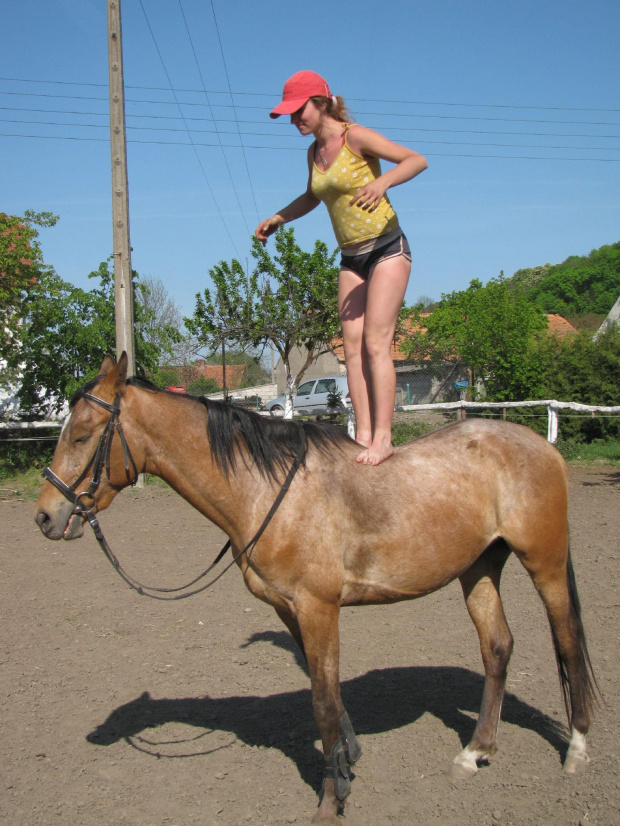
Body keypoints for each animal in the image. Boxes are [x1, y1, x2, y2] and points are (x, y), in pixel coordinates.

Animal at [34, 356, 596, 824]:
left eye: (81, 435)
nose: (45, 516)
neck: (267, 490)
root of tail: (543, 446)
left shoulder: (318, 607)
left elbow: (323, 703)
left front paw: (330, 801)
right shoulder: (290, 610)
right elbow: (325, 691)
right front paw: (345, 765)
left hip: (544, 563)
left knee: (568, 640)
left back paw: (577, 749)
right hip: (479, 568)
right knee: (497, 648)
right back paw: (475, 752)